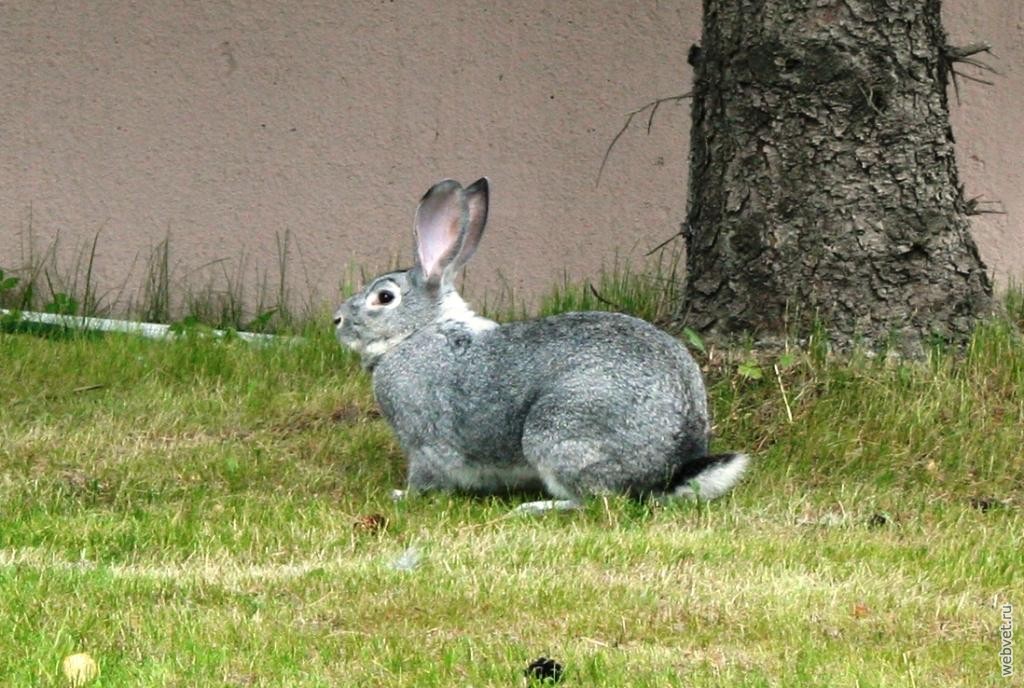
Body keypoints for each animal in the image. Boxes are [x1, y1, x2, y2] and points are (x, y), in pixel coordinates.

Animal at [331, 180, 749, 513]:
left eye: (384, 297)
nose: (336, 321)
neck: (419, 330)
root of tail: (671, 468)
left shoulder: (425, 443)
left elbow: (427, 477)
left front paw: (402, 495)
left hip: (556, 431)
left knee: (598, 500)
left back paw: (536, 506)